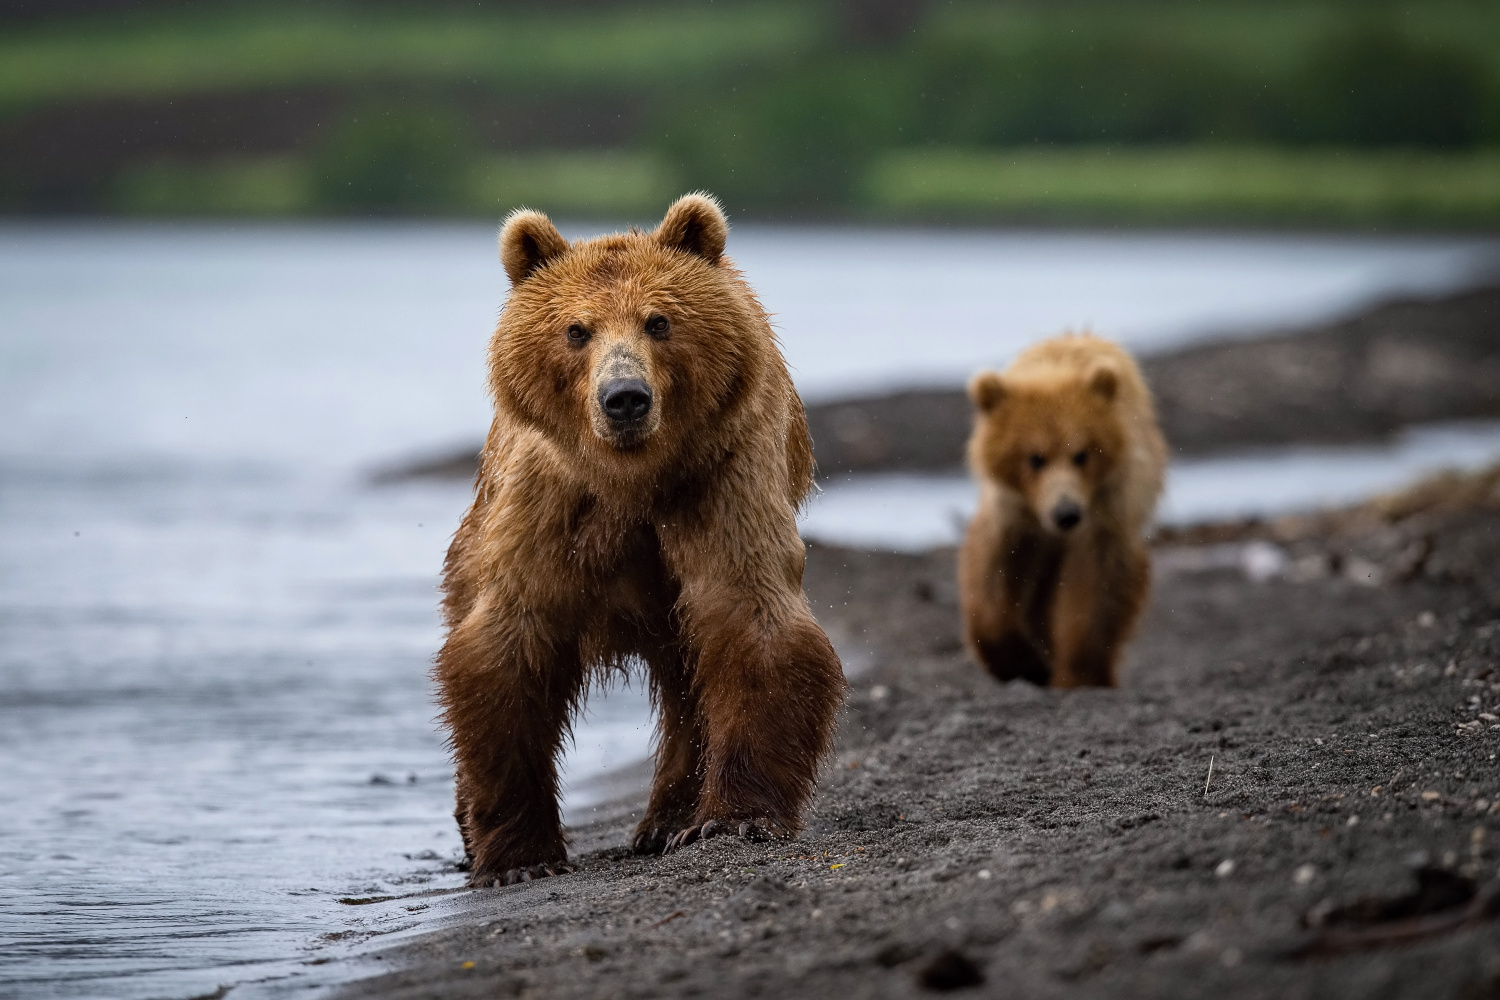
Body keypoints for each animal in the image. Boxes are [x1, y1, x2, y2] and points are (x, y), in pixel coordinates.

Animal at [438, 193, 852, 881]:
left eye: (659, 321)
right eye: (576, 329)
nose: (624, 398)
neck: (633, 481)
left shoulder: (720, 473)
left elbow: (750, 613)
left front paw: (733, 818)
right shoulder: (551, 497)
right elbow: (511, 637)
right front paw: (521, 857)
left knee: (691, 683)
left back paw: (665, 820)